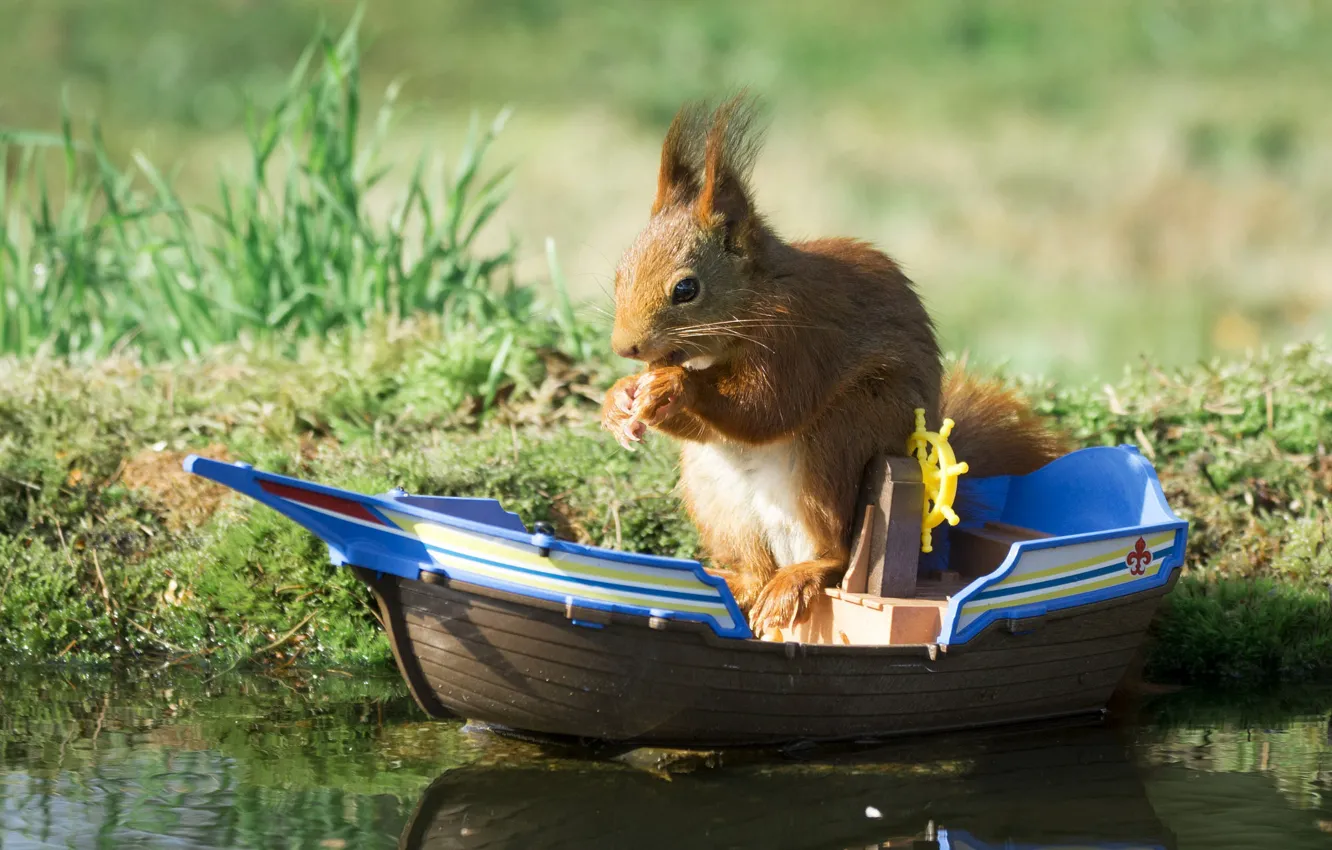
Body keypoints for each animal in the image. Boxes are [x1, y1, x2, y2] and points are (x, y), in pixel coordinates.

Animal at [599, 94, 1065, 639]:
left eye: (686, 289)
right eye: (620, 272)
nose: (625, 347)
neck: (755, 300)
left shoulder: (800, 339)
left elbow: (765, 408)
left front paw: (673, 385)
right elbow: (715, 424)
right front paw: (619, 400)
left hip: (838, 447)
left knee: (836, 557)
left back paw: (798, 579)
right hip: (715, 497)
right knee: (754, 569)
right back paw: (738, 583)